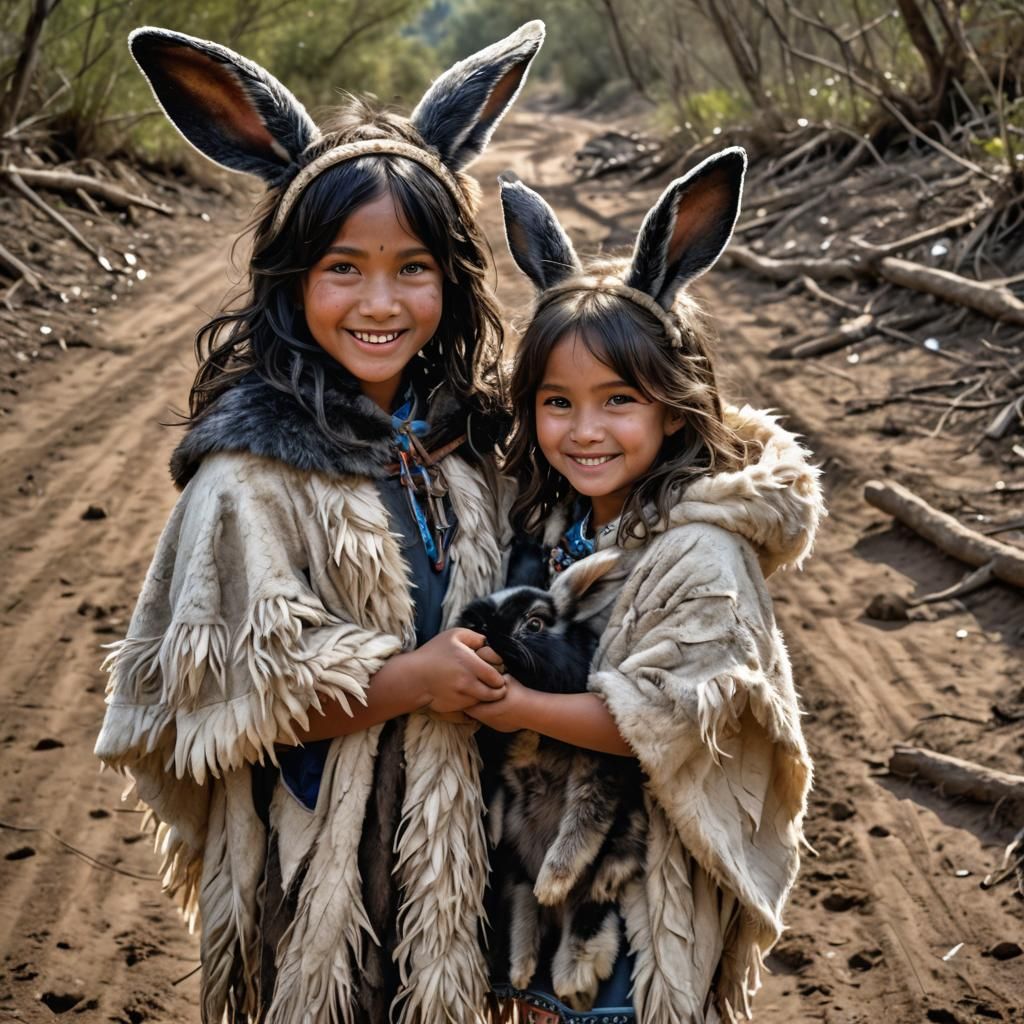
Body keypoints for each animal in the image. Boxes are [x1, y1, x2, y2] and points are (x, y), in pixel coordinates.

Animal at [459, 549, 647, 1011]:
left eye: (534, 624)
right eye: (479, 621)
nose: (484, 635)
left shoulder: (597, 772)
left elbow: (580, 827)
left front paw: (553, 882)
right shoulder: (499, 763)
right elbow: (499, 792)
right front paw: (490, 832)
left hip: (608, 868)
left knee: (588, 916)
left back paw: (574, 983)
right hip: (516, 874)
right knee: (525, 906)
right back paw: (522, 970)